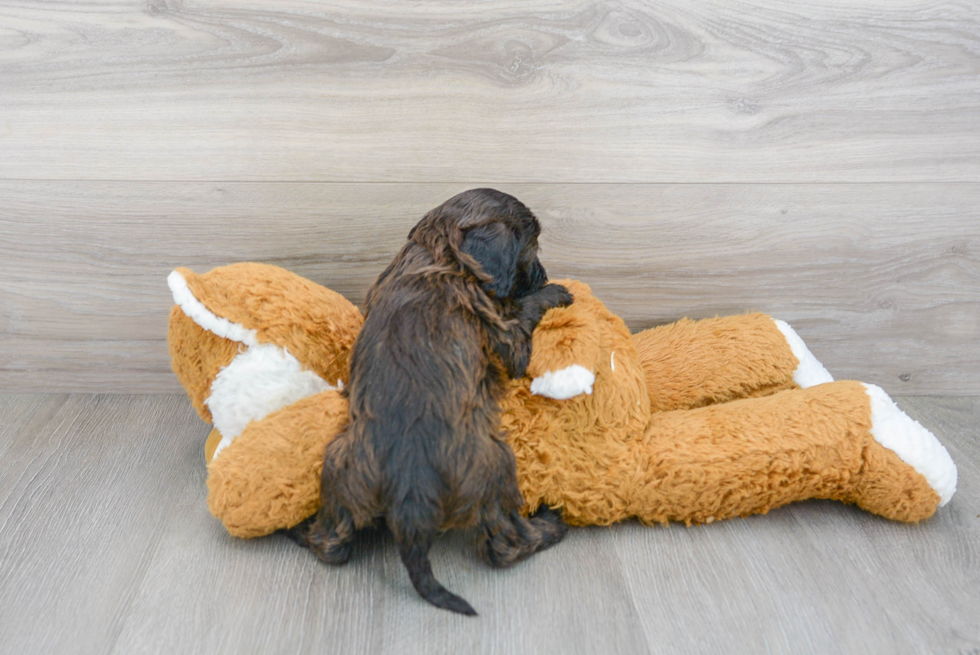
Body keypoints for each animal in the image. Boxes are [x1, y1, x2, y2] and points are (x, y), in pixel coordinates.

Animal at [294, 188, 580, 616]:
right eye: (532, 248)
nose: (544, 275)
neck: (436, 253)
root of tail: (409, 494)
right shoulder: (507, 338)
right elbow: (523, 316)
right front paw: (555, 292)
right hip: (495, 467)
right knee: (507, 546)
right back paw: (550, 522)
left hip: (341, 468)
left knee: (331, 545)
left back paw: (300, 530)